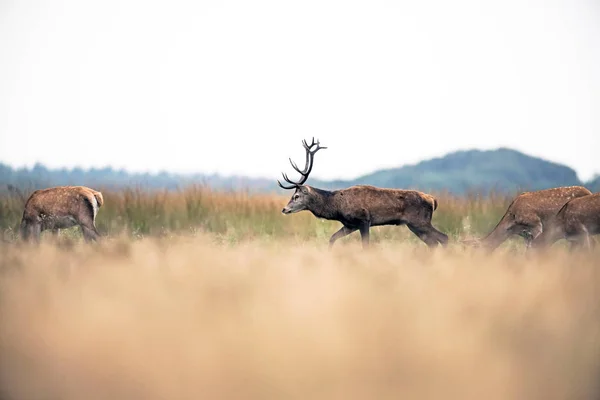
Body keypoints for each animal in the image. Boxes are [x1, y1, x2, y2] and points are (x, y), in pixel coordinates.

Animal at [276, 139, 446, 248]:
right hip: (415, 224)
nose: (284, 209)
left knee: (443, 238)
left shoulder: (364, 220)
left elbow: (366, 246)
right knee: (435, 242)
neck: (336, 207)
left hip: (419, 221)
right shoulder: (350, 225)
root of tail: (433, 200)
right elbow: (332, 239)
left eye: (296, 196)